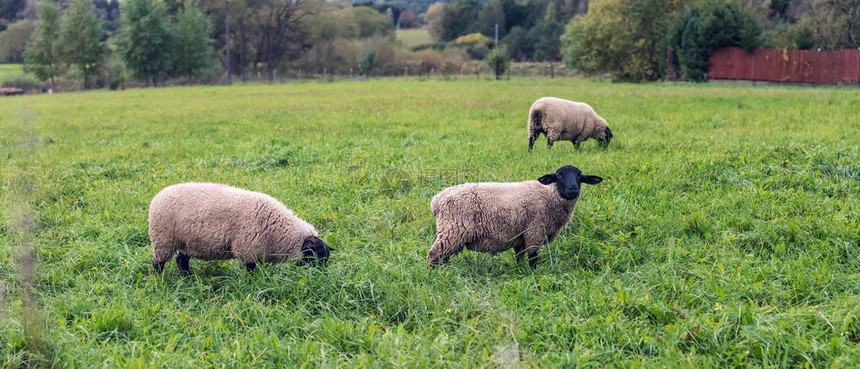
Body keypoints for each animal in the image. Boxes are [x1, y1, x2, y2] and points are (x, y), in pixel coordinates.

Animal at [149, 183, 334, 274]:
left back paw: (187, 277)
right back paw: (159, 280)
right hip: (163, 240)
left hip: (186, 241)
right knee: (158, 263)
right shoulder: (248, 249)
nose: (321, 277)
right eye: (316, 256)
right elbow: (251, 270)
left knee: (182, 260)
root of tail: (159, 195)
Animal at [424, 165, 600, 268]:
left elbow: (519, 256)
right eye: (559, 175)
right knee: (434, 255)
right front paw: (533, 275)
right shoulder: (534, 231)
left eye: (580, 177)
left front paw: (519, 270)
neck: (549, 194)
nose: (573, 189)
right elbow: (532, 258)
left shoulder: (520, 236)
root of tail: (436, 200)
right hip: (452, 231)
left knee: (443, 257)